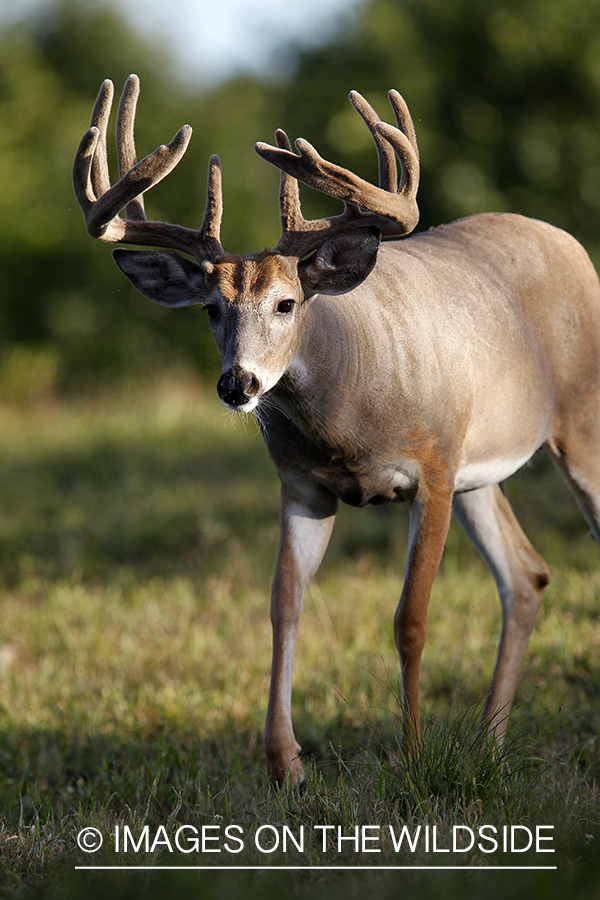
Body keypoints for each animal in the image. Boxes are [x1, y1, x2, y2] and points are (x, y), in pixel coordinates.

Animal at [74, 74, 600, 784]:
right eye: (210, 308)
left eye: (286, 303)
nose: (238, 384)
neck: (349, 427)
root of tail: (567, 242)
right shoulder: (304, 486)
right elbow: (283, 606)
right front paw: (286, 766)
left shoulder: (433, 468)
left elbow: (410, 619)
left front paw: (413, 757)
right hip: (481, 475)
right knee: (526, 574)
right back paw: (489, 745)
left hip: (575, 423)